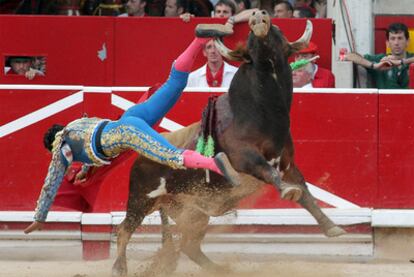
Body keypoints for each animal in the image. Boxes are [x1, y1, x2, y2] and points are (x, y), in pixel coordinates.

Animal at [112, 11, 346, 276]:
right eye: (252, 40)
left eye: (277, 30)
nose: (258, 16)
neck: (264, 114)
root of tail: (141, 156)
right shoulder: (246, 158)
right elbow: (270, 172)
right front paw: (287, 191)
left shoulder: (288, 163)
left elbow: (305, 193)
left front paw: (330, 226)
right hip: (142, 199)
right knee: (124, 229)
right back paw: (119, 268)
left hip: (192, 212)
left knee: (189, 245)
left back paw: (222, 269)